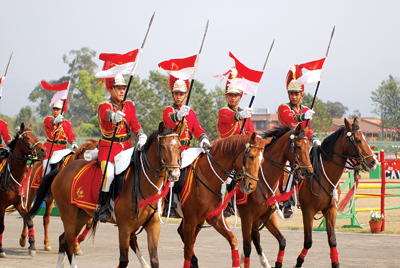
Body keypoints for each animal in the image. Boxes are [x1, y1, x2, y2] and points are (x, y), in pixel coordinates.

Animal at [0, 123, 46, 258]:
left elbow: (29, 220)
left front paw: (32, 246)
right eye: (27, 138)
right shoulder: (1, 205)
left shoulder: (19, 203)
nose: (43, 150)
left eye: (36, 136)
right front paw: (1, 249)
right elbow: (1, 227)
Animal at [23, 122, 183, 268]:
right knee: (68, 243)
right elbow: (123, 260)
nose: (174, 174)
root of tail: (61, 171)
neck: (143, 183)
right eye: (162, 147)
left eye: (179, 147)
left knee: (63, 240)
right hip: (68, 215)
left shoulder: (153, 226)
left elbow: (154, 260)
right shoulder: (124, 228)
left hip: (81, 215)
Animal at [175, 133, 268, 268]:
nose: (251, 186)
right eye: (251, 156)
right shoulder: (191, 219)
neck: (207, 175)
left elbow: (233, 240)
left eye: (262, 160)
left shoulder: (213, 216)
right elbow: (187, 250)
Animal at [234, 123, 316, 268]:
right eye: (298, 146)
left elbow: (281, 240)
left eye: (308, 147)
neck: (262, 180)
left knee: (256, 237)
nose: (309, 172)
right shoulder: (247, 217)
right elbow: (248, 246)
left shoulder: (266, 215)